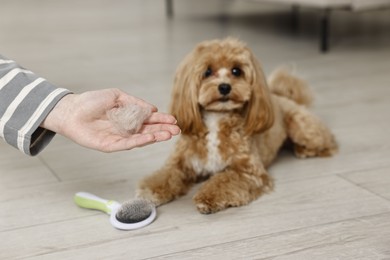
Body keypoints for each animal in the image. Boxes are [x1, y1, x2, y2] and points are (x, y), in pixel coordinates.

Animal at [136, 38, 336, 213]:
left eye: (236, 71)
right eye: (207, 72)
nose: (224, 87)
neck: (216, 119)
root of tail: (282, 96)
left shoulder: (248, 171)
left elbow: (223, 180)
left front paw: (206, 198)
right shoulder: (182, 163)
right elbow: (166, 175)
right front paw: (150, 191)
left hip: (302, 127)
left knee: (329, 141)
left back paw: (305, 150)